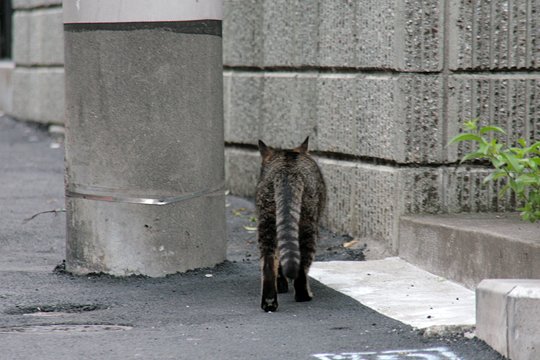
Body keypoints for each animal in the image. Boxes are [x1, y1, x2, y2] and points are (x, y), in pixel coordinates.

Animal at [256, 136, 326, 310]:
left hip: (267, 221)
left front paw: (281, 283)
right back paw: (303, 295)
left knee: (268, 262)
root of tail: (287, 172)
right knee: (302, 267)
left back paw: (269, 301)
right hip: (308, 224)